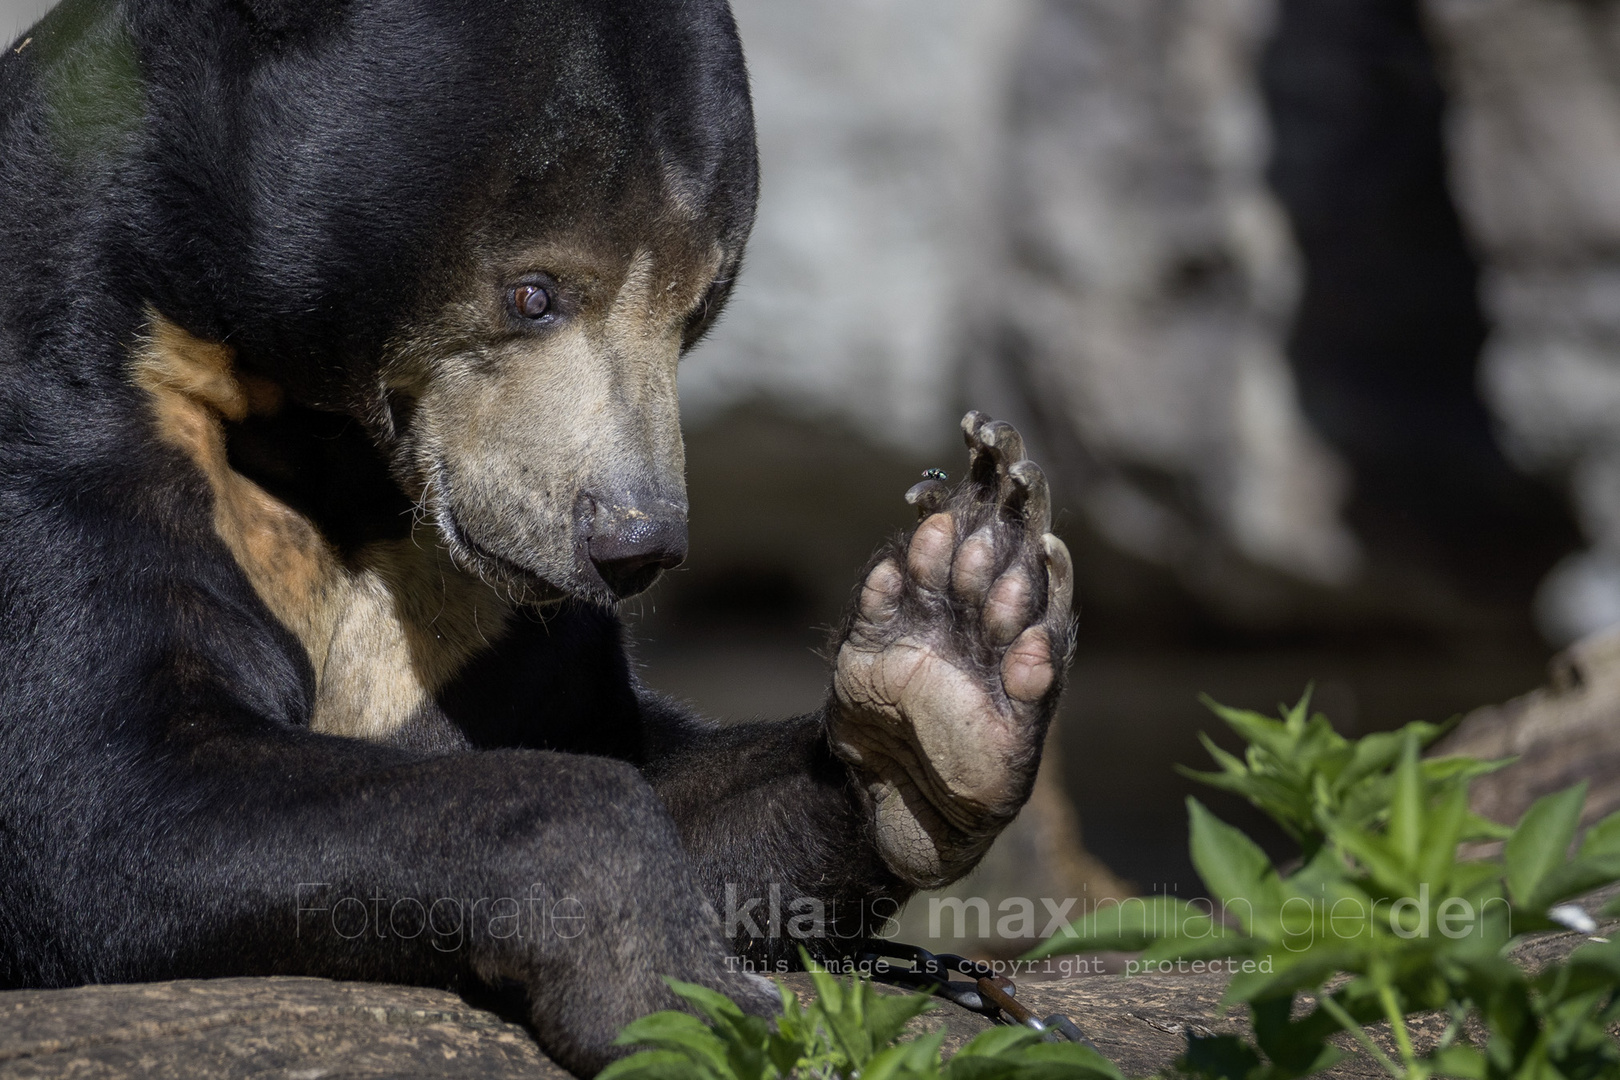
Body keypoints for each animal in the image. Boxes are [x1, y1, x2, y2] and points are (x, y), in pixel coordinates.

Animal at [3, 0, 1075, 1075]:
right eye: (533, 292)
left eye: (697, 308)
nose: (632, 543)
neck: (332, 444)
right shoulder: (76, 413)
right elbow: (103, 799)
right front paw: (661, 986)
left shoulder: (472, 590)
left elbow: (630, 754)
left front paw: (951, 653)